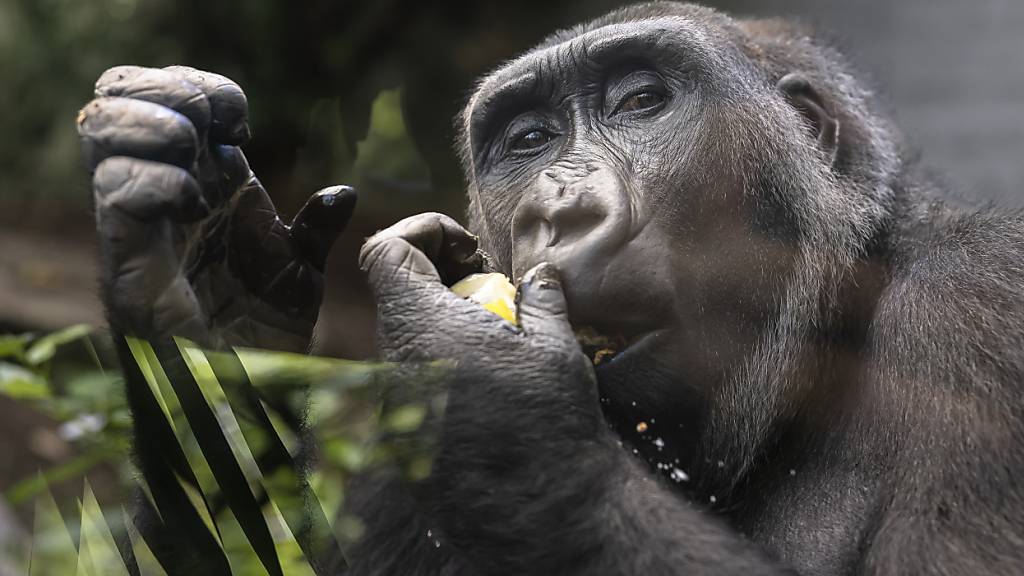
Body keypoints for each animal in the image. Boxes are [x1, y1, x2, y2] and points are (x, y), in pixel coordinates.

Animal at [77, 1, 1024, 573]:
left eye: (641, 101)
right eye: (528, 140)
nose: (558, 208)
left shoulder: (984, 311)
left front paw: (492, 392)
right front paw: (201, 292)